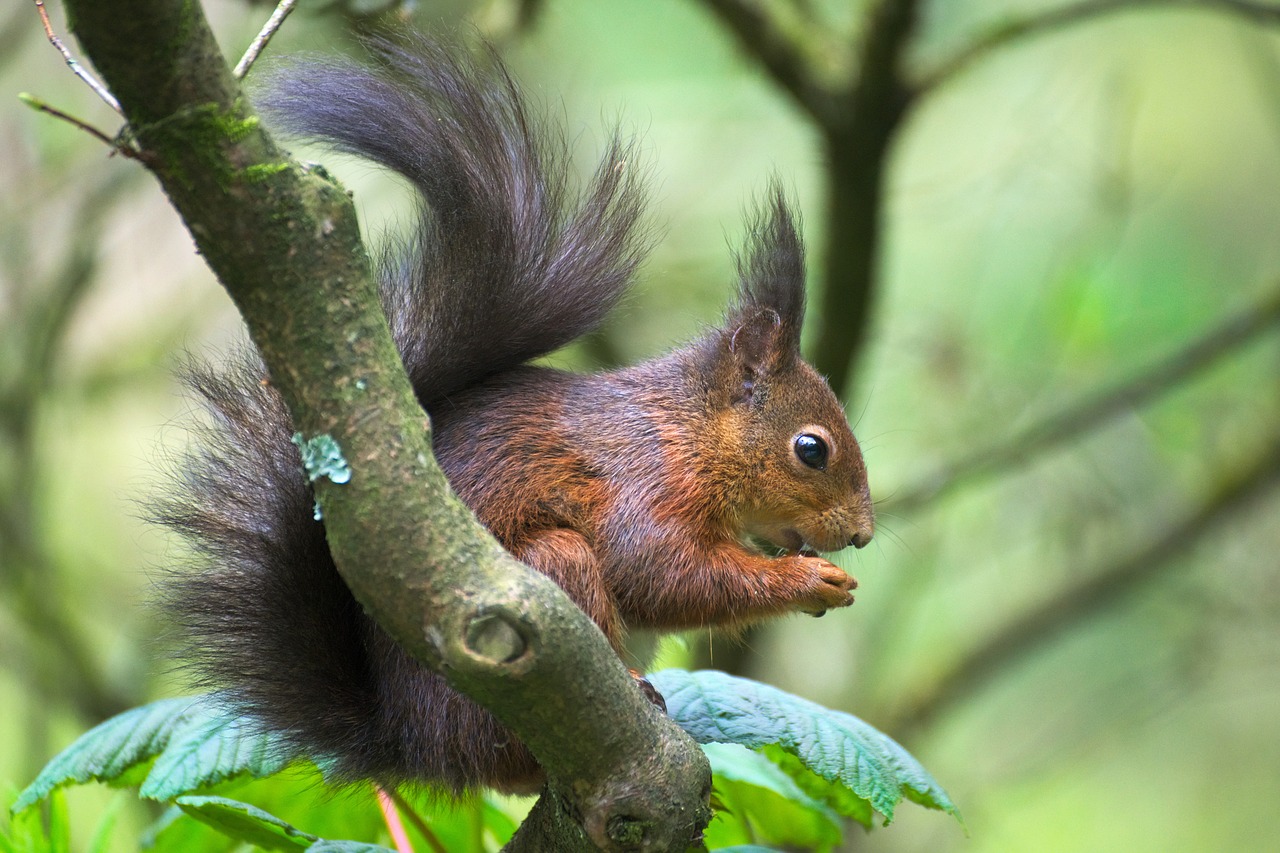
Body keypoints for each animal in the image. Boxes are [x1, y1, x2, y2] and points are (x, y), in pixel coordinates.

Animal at [157, 33, 870, 788]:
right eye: (812, 449)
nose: (861, 533)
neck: (689, 429)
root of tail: (417, 746)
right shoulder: (644, 481)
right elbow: (659, 573)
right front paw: (809, 578)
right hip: (544, 587)